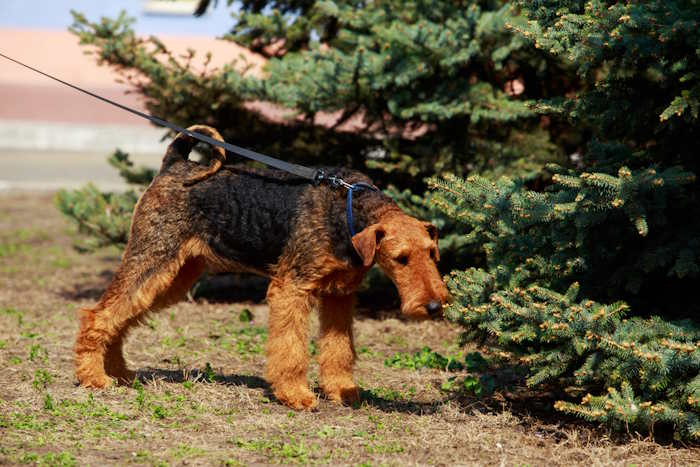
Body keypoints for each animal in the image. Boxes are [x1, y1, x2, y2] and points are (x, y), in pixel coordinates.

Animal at [75, 124, 448, 410]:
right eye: (401, 258)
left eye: (432, 253)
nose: (433, 306)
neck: (348, 211)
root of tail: (174, 165)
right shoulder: (291, 289)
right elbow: (291, 348)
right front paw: (296, 395)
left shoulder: (340, 296)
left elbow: (339, 349)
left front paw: (343, 391)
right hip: (152, 259)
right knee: (99, 314)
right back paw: (94, 377)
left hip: (172, 276)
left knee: (120, 317)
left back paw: (118, 372)